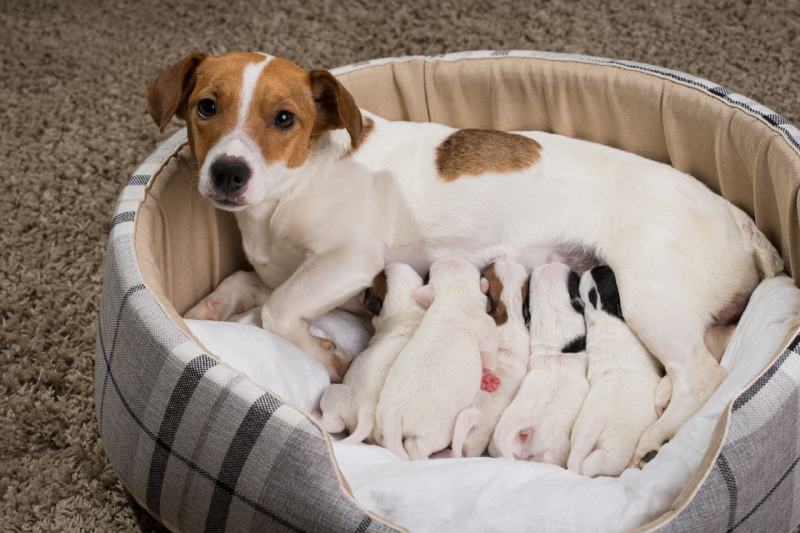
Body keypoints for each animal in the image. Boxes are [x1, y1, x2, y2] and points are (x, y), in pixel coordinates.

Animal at [374, 256, 496, 460]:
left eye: (428, 275)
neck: (454, 293)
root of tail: (393, 418)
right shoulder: (486, 329)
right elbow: (491, 349)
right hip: (435, 431)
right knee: (415, 446)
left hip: (382, 422)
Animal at [568, 266, 664, 478]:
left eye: (598, 274)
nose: (597, 266)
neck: (601, 315)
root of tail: (593, 430)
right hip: (612, 455)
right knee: (593, 466)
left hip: (579, 435)